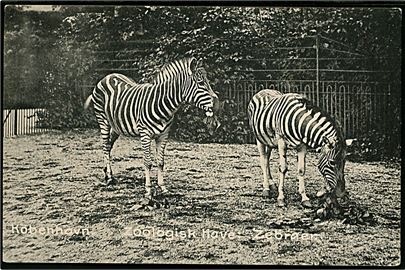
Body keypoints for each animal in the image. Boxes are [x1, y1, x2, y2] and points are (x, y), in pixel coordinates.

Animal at [84, 57, 218, 198]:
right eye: (201, 83)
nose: (217, 105)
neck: (162, 104)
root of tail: (108, 76)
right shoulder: (145, 134)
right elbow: (148, 162)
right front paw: (148, 190)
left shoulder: (164, 135)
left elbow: (161, 162)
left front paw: (163, 187)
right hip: (103, 120)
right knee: (105, 146)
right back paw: (109, 177)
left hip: (116, 126)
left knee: (109, 146)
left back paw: (107, 172)